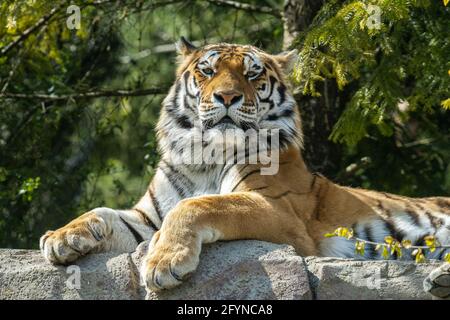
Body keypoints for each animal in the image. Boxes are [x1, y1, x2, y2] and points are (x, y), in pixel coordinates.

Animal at [39, 38, 450, 298]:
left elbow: (198, 205)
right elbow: (104, 212)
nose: (227, 96)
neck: (204, 155)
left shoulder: (279, 210)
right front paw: (61, 237)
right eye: (207, 71)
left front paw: (164, 262)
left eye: (252, 75)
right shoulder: (148, 217)